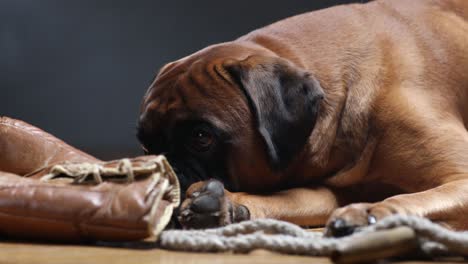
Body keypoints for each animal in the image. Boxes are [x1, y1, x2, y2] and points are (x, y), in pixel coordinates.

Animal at [136, 0, 468, 236]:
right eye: (145, 145)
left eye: (201, 138)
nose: (164, 169)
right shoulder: (328, 192)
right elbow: (286, 199)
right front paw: (226, 204)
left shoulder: (460, 178)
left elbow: (406, 199)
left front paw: (371, 214)